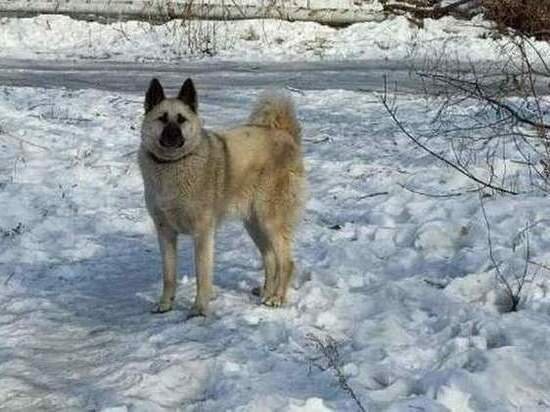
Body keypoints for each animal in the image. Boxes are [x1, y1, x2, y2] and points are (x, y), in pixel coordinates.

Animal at [138, 78, 306, 316]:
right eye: (162, 119)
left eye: (181, 120)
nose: (173, 136)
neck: (173, 165)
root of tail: (284, 133)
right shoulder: (165, 232)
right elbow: (168, 275)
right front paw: (165, 304)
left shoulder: (203, 232)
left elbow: (202, 274)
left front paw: (199, 308)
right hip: (254, 224)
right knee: (270, 258)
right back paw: (266, 292)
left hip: (270, 220)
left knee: (286, 262)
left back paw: (277, 298)